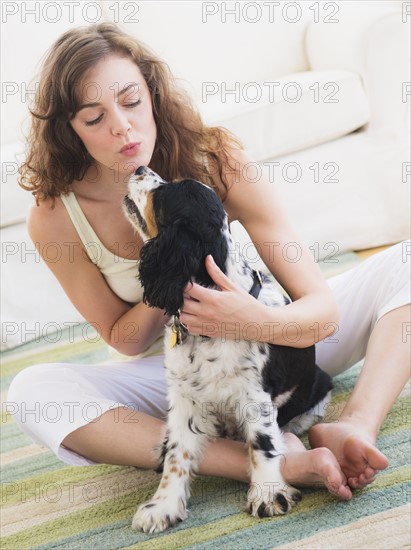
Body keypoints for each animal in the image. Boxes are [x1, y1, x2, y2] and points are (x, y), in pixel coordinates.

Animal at [122, 167, 332, 536]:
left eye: (163, 194)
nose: (139, 168)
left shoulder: (254, 395)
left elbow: (261, 444)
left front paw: (268, 495)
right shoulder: (185, 397)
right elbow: (178, 455)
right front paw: (162, 507)